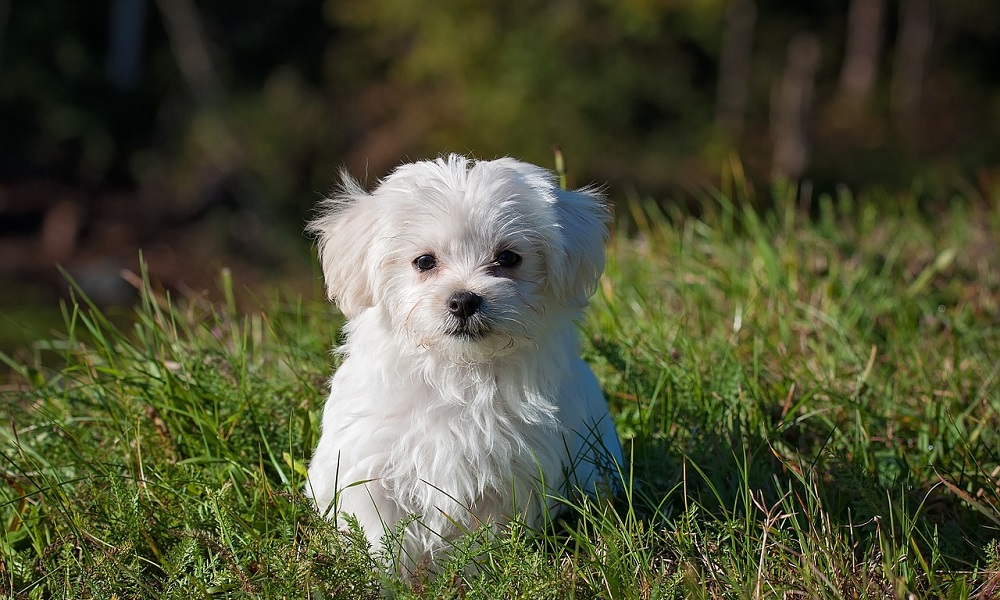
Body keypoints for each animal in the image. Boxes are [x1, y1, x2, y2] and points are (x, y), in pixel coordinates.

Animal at [306, 155, 616, 572]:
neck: (458, 372)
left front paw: (474, 574)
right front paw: (387, 578)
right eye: (424, 261)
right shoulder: (370, 467)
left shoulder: (508, 477)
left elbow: (483, 539)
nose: (464, 300)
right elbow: (381, 536)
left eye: (508, 258)